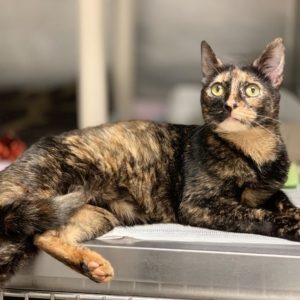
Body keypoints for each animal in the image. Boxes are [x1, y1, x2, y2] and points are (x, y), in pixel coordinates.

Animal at [0, 37, 298, 284]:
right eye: (216, 89)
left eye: (251, 90)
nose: (229, 105)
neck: (255, 156)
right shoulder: (198, 205)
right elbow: (257, 214)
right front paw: (293, 225)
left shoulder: (267, 192)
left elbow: (282, 201)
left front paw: (293, 213)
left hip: (93, 214)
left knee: (45, 236)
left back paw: (93, 266)